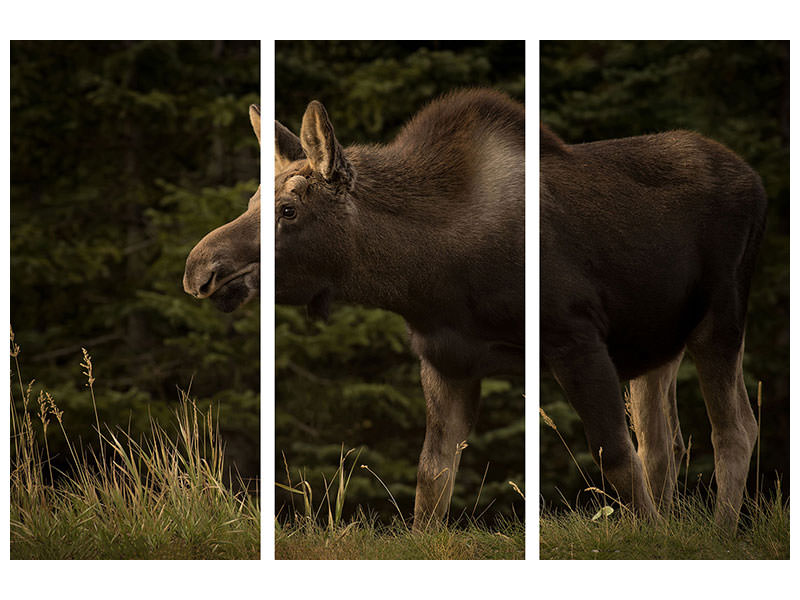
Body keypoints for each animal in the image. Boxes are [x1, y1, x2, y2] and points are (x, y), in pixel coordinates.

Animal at [540, 124, 764, 532]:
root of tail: (756, 183)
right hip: (658, 336)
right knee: (663, 441)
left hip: (721, 310)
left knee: (736, 426)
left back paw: (719, 530)